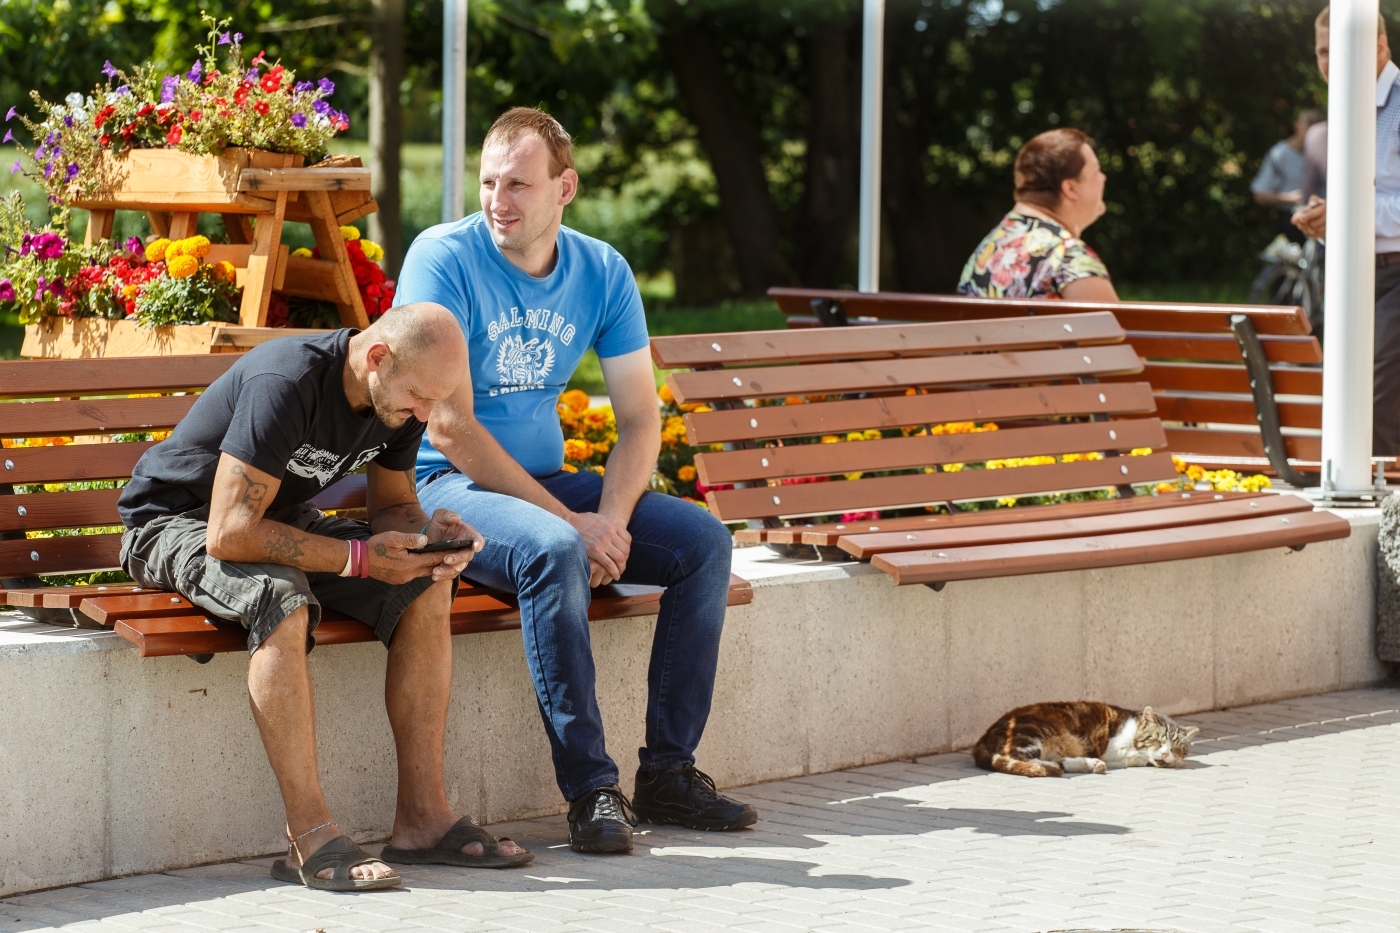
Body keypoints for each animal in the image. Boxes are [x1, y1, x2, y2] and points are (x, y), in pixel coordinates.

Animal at [980, 700, 1198, 773]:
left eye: (1176, 748)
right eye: (1158, 740)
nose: (1166, 753)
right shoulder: (1112, 748)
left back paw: (1090, 764)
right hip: (1034, 734)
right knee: (1015, 757)